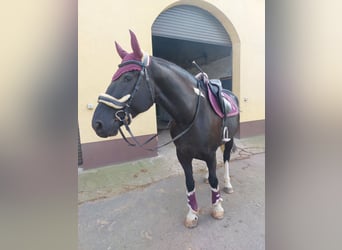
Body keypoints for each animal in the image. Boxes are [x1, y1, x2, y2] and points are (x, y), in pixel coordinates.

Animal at [92, 30, 239, 228]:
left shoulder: (208, 153)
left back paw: (228, 184)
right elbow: (190, 182)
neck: (191, 113)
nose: (97, 123)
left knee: (226, 159)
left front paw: (217, 208)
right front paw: (192, 214)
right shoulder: (183, 154)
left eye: (127, 78)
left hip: (229, 140)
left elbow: (215, 179)